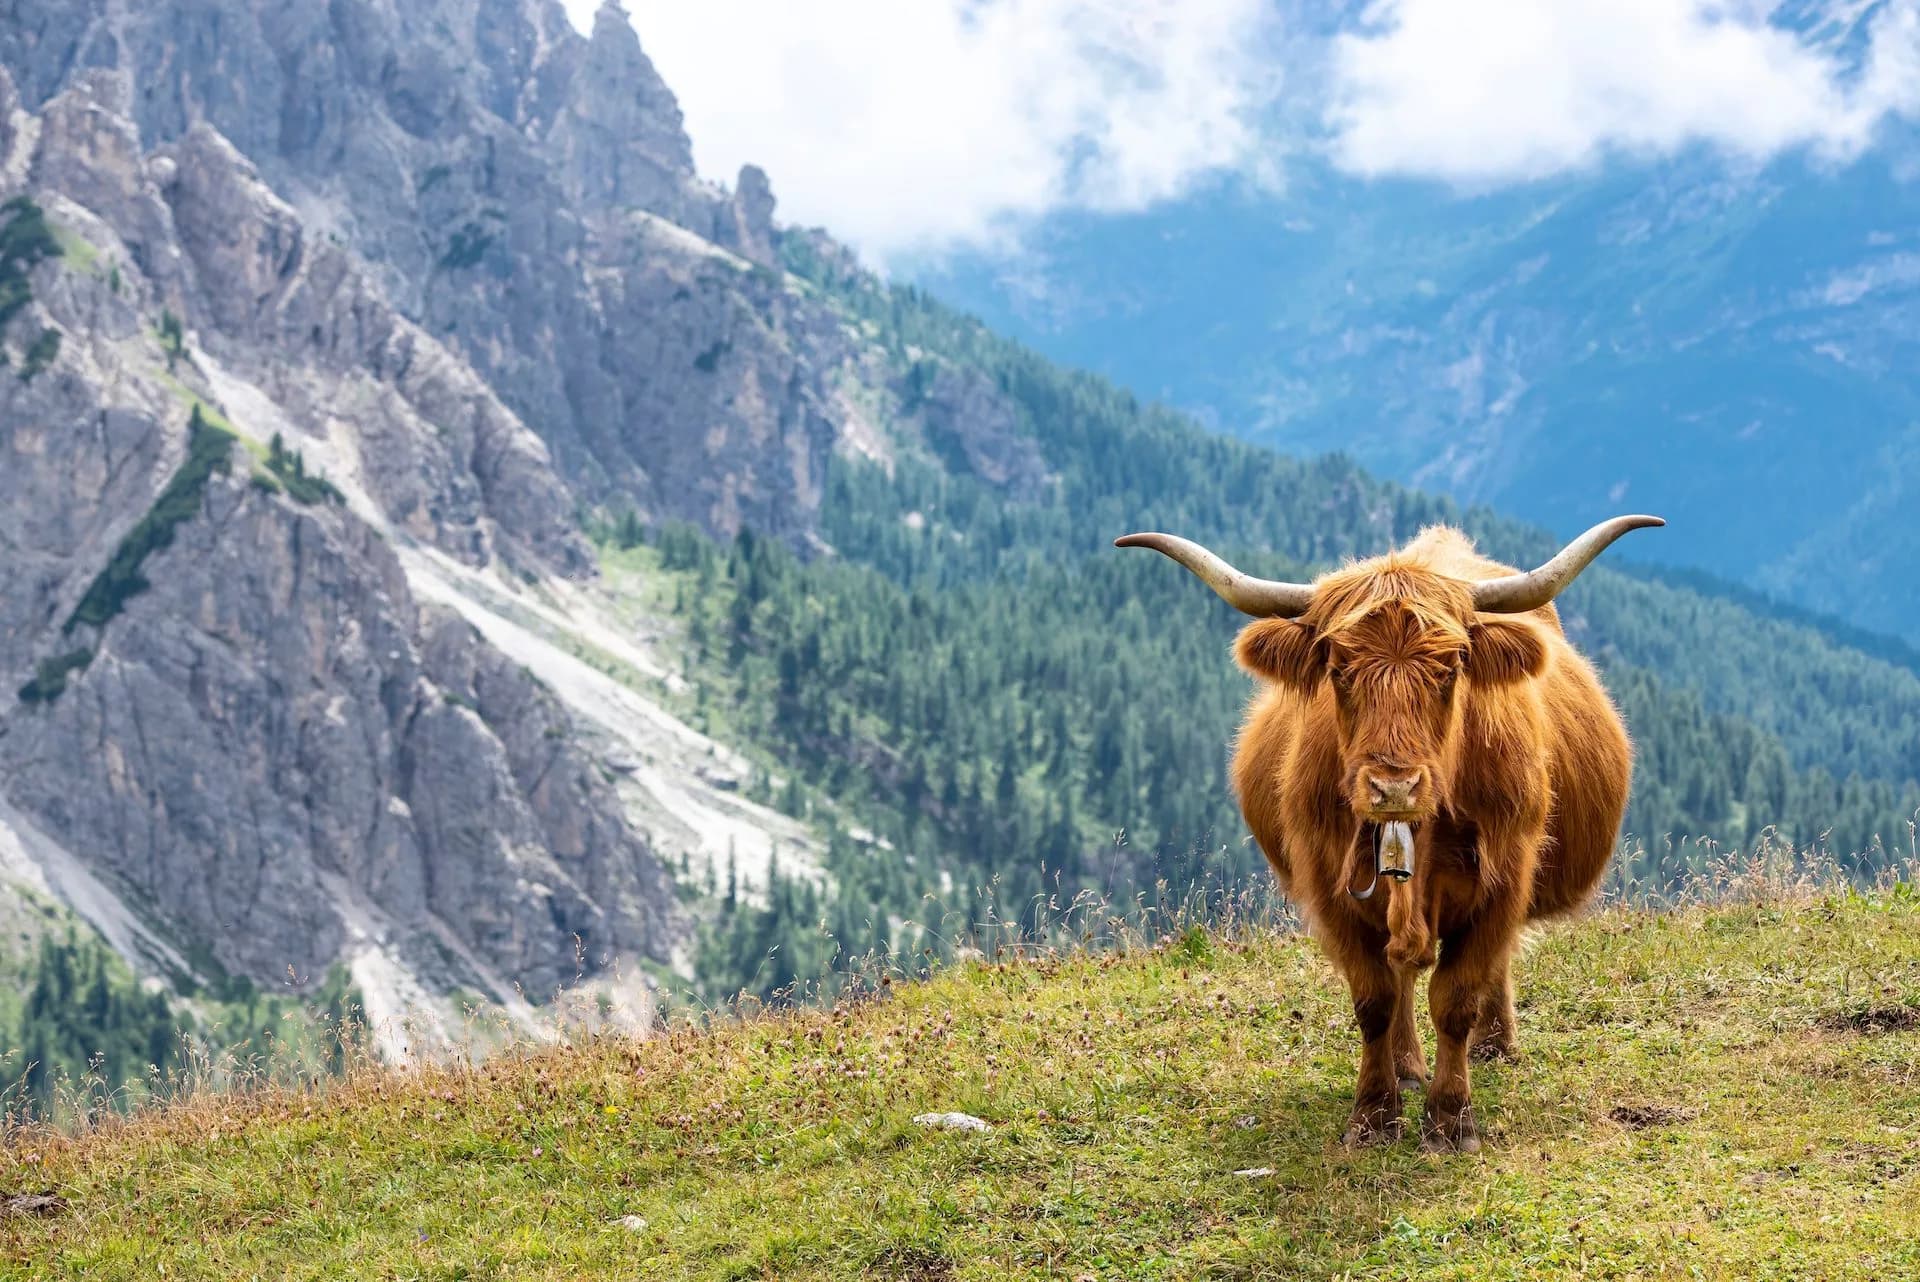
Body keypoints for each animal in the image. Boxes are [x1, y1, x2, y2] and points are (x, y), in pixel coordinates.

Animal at [1117, 516, 1661, 1152]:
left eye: (1451, 668)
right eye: (1338, 669)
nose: (1393, 786)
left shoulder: (1504, 879)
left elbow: (1457, 996)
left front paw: (1451, 1119)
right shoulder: (1331, 888)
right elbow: (1373, 997)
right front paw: (1375, 1114)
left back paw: (1496, 1046)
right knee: (1401, 970)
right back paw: (1405, 1065)